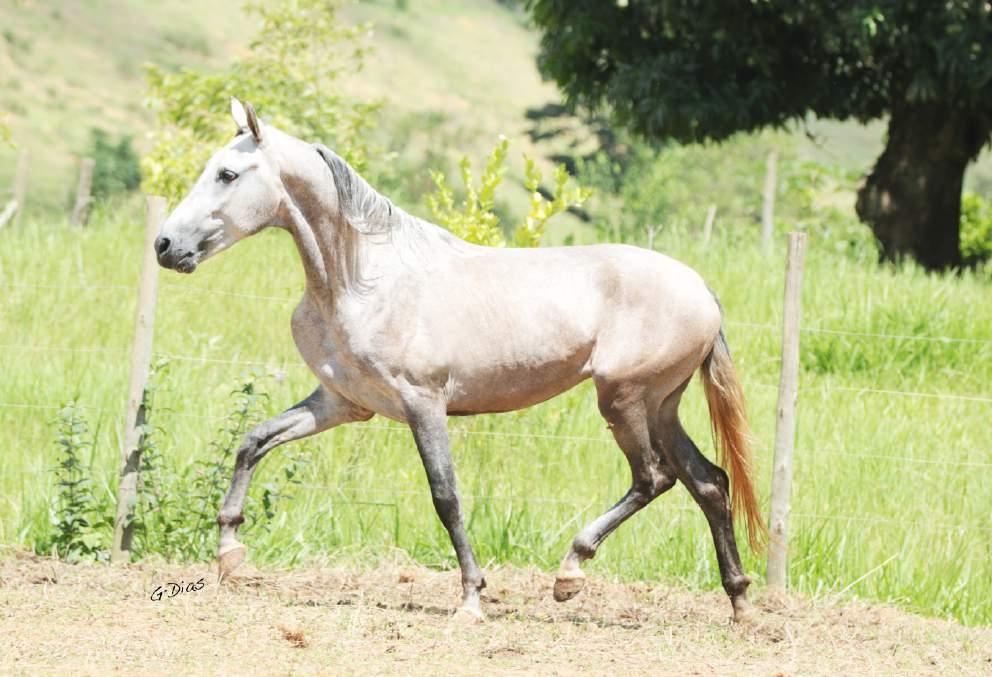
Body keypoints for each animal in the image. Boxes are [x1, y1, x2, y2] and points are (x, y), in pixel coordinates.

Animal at [155, 97, 768, 620]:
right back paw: (739, 603)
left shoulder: (423, 403)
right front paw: (229, 553)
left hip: (622, 399)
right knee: (709, 482)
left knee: (653, 478)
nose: (165, 246)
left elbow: (446, 497)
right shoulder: (341, 403)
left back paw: (569, 574)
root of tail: (702, 291)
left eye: (227, 175)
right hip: (661, 404)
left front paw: (472, 599)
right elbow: (253, 441)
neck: (363, 280)